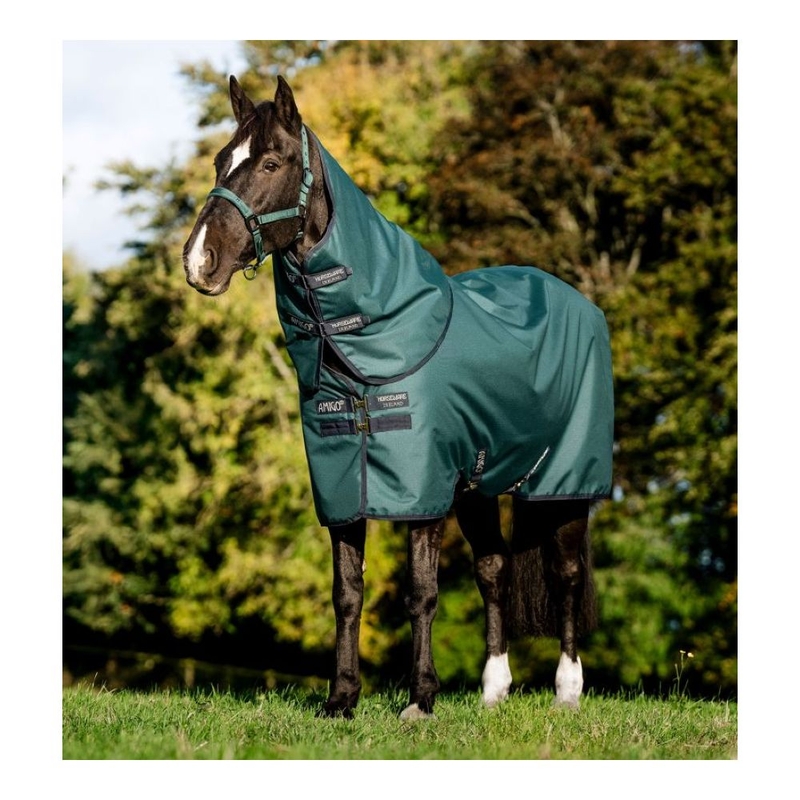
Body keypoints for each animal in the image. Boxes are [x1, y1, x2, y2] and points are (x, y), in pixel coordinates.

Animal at [183, 75, 613, 720]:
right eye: (218, 162)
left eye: (270, 162)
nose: (198, 261)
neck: (372, 343)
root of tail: (579, 302)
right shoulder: (343, 490)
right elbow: (347, 593)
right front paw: (341, 699)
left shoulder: (423, 493)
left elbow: (422, 592)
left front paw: (420, 700)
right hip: (479, 487)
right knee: (494, 570)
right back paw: (494, 691)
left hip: (563, 485)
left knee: (564, 573)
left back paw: (567, 691)